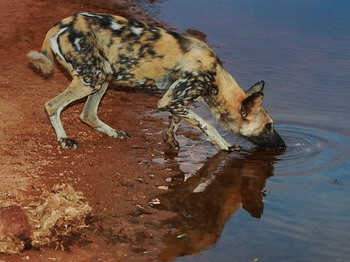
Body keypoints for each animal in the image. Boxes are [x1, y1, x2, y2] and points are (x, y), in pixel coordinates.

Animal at [27, 11, 284, 151]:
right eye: (268, 126)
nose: (283, 145)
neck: (216, 78)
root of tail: (61, 24)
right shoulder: (171, 100)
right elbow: (208, 125)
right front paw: (225, 145)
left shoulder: (176, 100)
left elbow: (176, 122)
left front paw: (171, 141)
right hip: (93, 78)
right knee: (52, 105)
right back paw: (64, 140)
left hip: (104, 76)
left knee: (87, 114)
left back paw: (114, 133)